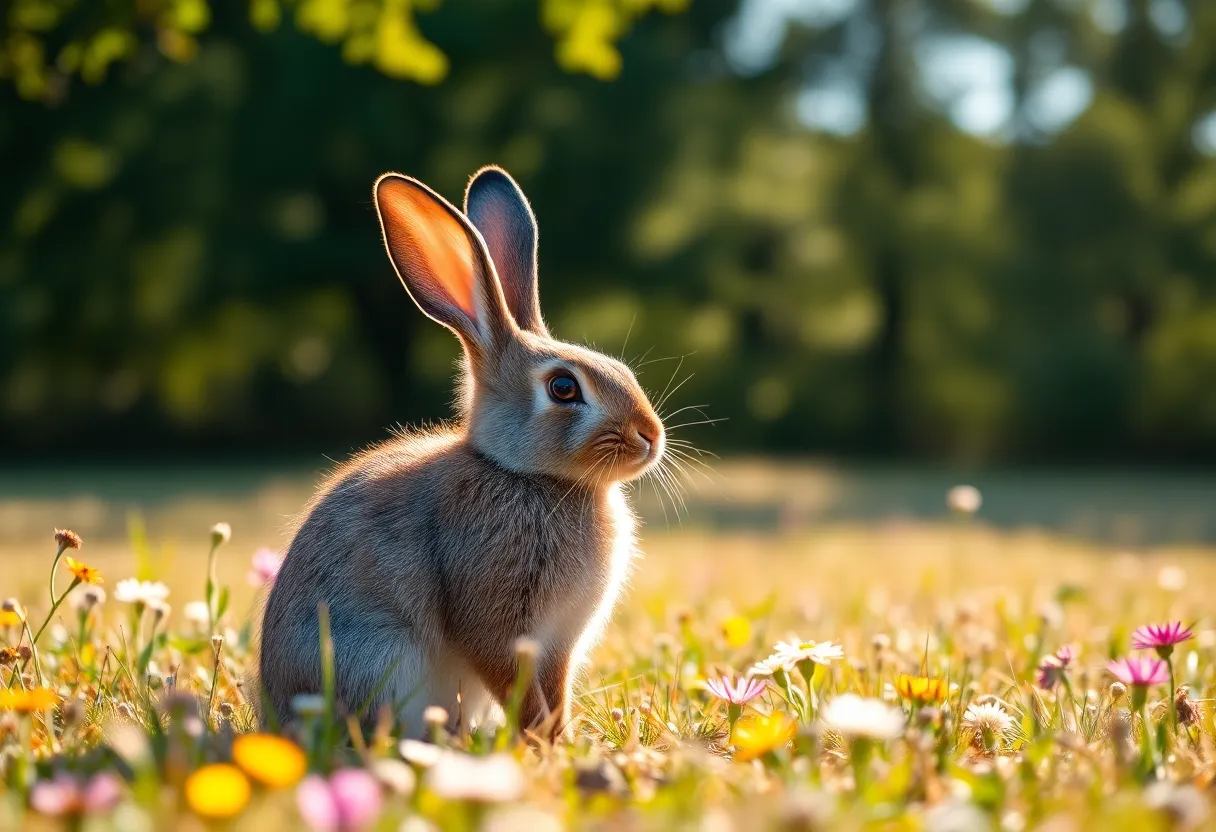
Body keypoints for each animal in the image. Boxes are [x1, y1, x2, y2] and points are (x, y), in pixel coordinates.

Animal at [256, 166, 665, 739]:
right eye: (563, 388)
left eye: (623, 371)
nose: (650, 436)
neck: (527, 475)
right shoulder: (495, 619)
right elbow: (514, 681)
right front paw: (543, 741)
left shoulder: (558, 642)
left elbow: (554, 690)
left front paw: (558, 739)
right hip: (381, 660)